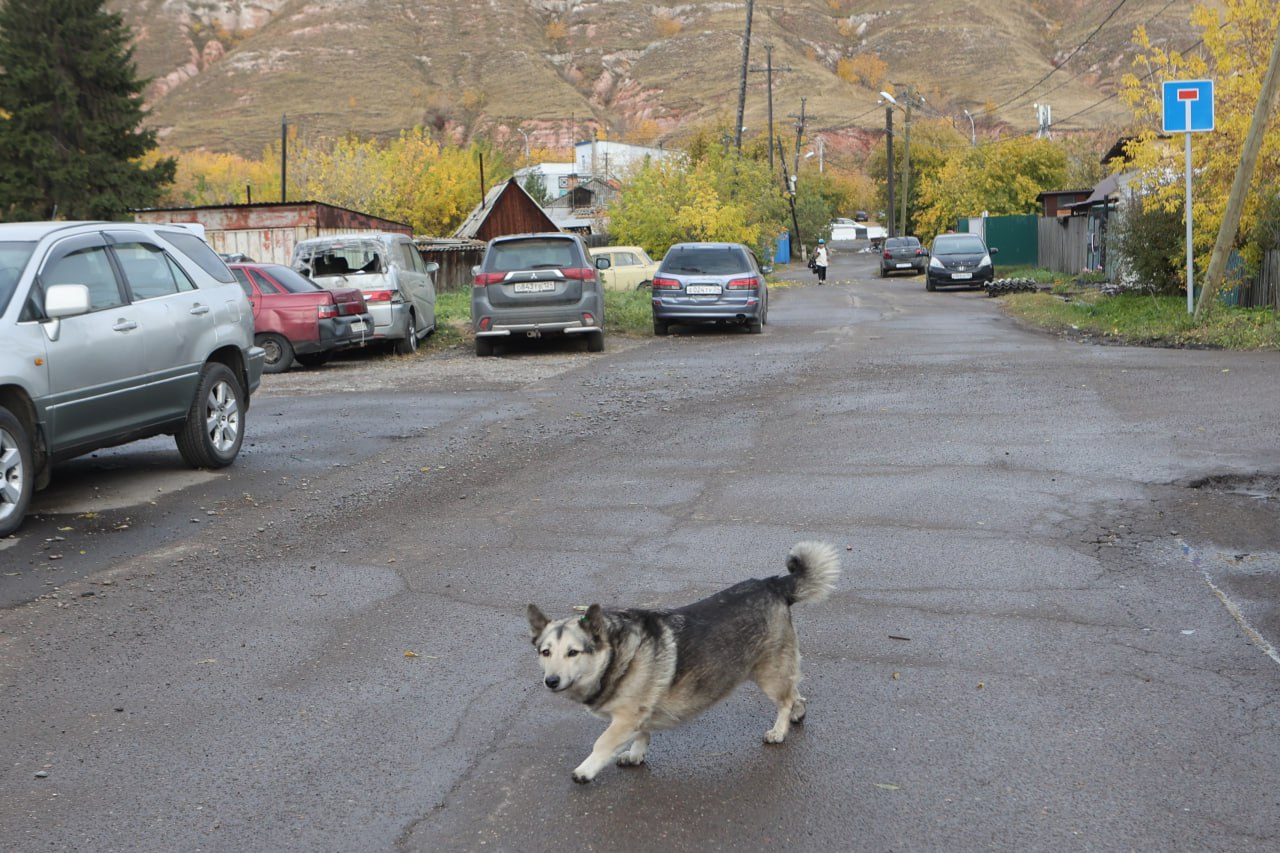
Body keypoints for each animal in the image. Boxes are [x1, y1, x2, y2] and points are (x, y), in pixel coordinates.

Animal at [527, 540, 839, 778]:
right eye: (546, 652)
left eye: (573, 652)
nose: (551, 681)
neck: (616, 654)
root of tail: (773, 584)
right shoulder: (641, 713)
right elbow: (642, 735)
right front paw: (636, 754)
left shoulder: (626, 717)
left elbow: (602, 743)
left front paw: (586, 770)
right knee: (795, 691)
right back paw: (798, 712)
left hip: (768, 673)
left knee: (784, 700)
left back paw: (779, 730)